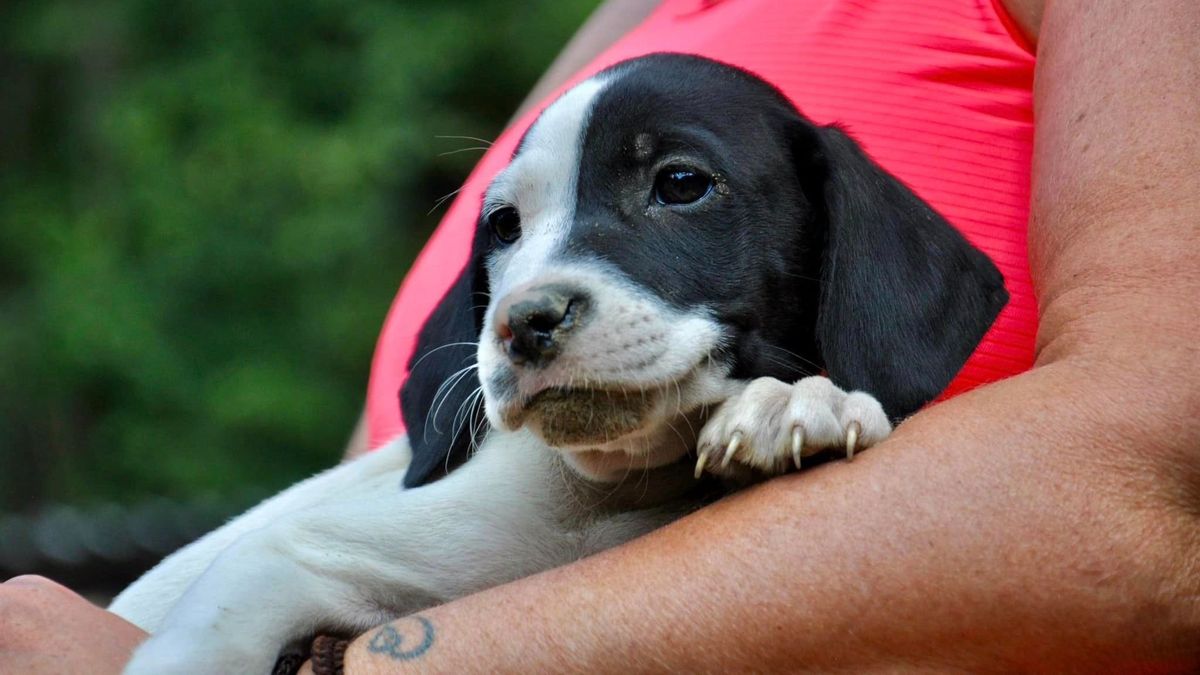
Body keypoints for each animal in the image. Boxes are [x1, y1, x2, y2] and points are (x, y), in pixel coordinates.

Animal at [114, 53, 1003, 672]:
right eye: (503, 226)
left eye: (682, 183)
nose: (523, 322)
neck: (616, 492)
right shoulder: (303, 557)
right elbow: (214, 625)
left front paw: (796, 404)